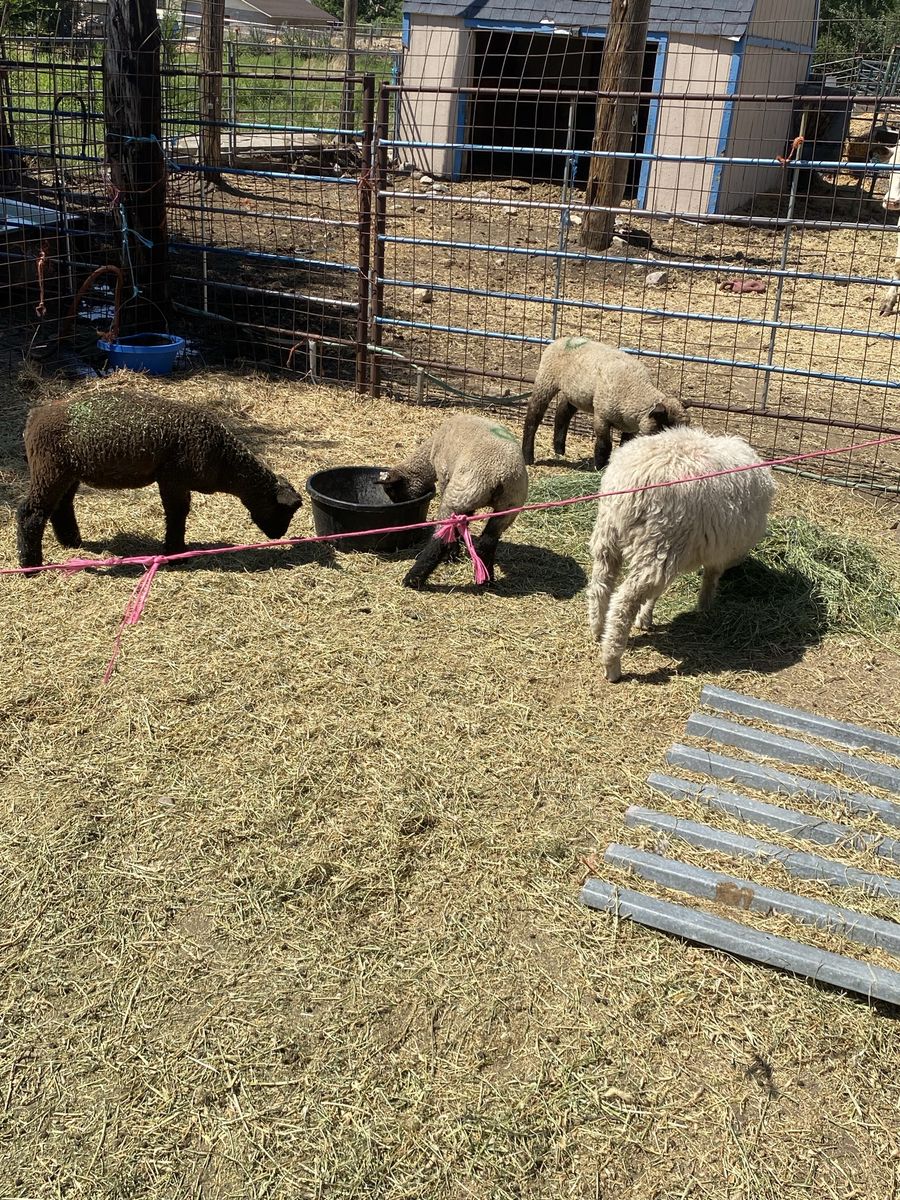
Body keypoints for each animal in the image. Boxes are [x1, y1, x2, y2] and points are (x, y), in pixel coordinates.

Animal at [16, 388, 303, 568]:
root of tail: (34, 416)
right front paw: (176, 554)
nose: (278, 535)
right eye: (285, 511)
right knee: (31, 512)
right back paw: (30, 564)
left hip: (68, 471)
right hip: (49, 468)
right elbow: (177, 513)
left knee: (61, 506)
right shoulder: (173, 478)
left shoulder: (174, 480)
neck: (224, 462)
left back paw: (71, 542)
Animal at [379, 414, 528, 588]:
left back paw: (414, 578)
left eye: (392, 491)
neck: (429, 455)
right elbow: (465, 522)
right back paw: (487, 579)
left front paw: (454, 551)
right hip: (507, 507)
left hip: (459, 495)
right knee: (487, 541)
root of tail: (500, 475)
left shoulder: (445, 478)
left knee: (442, 537)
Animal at [521, 336, 689, 471]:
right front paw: (600, 467)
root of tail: (562, 339)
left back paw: (559, 450)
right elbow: (604, 445)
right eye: (666, 427)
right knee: (533, 416)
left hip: (575, 393)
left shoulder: (630, 427)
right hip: (546, 379)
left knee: (562, 414)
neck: (634, 390)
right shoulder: (602, 416)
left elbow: (624, 444)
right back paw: (528, 456)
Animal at [586, 425, 775, 682]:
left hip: (613, 536)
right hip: (656, 542)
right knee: (624, 601)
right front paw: (705, 607)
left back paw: (597, 630)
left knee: (600, 585)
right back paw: (612, 662)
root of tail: (633, 478)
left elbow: (656, 594)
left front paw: (645, 618)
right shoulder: (715, 554)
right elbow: (710, 579)